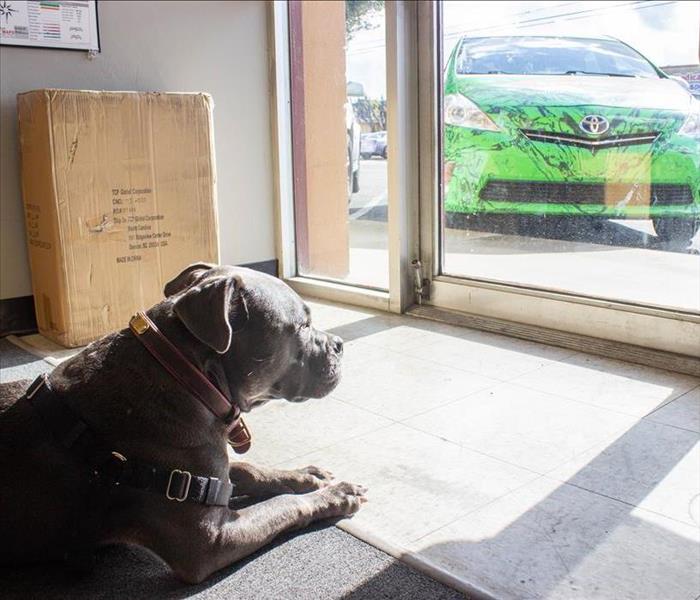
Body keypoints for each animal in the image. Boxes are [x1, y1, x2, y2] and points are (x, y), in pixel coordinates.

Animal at [0, 262, 366, 580]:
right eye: (302, 325)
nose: (339, 344)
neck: (189, 376)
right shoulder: (210, 541)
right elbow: (285, 505)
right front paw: (336, 494)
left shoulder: (206, 472)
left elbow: (249, 470)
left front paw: (307, 475)